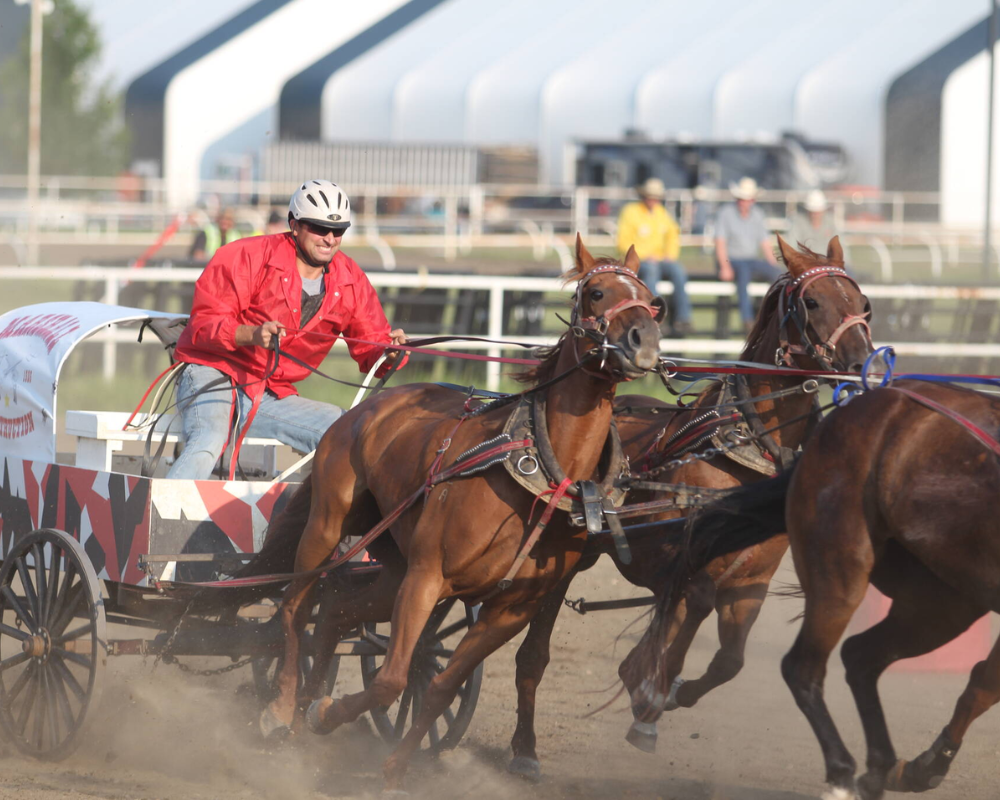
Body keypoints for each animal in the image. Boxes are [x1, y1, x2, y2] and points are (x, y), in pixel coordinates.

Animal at [254, 234, 660, 792]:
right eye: (596, 292)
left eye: (652, 298)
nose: (646, 341)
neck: (539, 468)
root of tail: (368, 408)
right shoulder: (428, 577)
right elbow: (392, 679)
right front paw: (331, 714)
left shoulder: (511, 608)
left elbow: (441, 685)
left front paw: (393, 767)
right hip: (329, 527)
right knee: (296, 611)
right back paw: (281, 707)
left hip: (392, 566)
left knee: (336, 613)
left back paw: (304, 709)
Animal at [508, 234, 876, 780]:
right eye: (812, 302)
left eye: (862, 302)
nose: (859, 362)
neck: (744, 449)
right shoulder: (670, 561)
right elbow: (693, 601)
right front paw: (648, 692)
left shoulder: (751, 583)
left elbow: (730, 661)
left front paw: (660, 691)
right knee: (536, 650)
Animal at [632, 378, 1000, 796]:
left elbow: (985, 683)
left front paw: (924, 766)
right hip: (844, 568)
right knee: (805, 666)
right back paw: (843, 771)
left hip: (942, 600)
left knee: (860, 657)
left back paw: (882, 768)